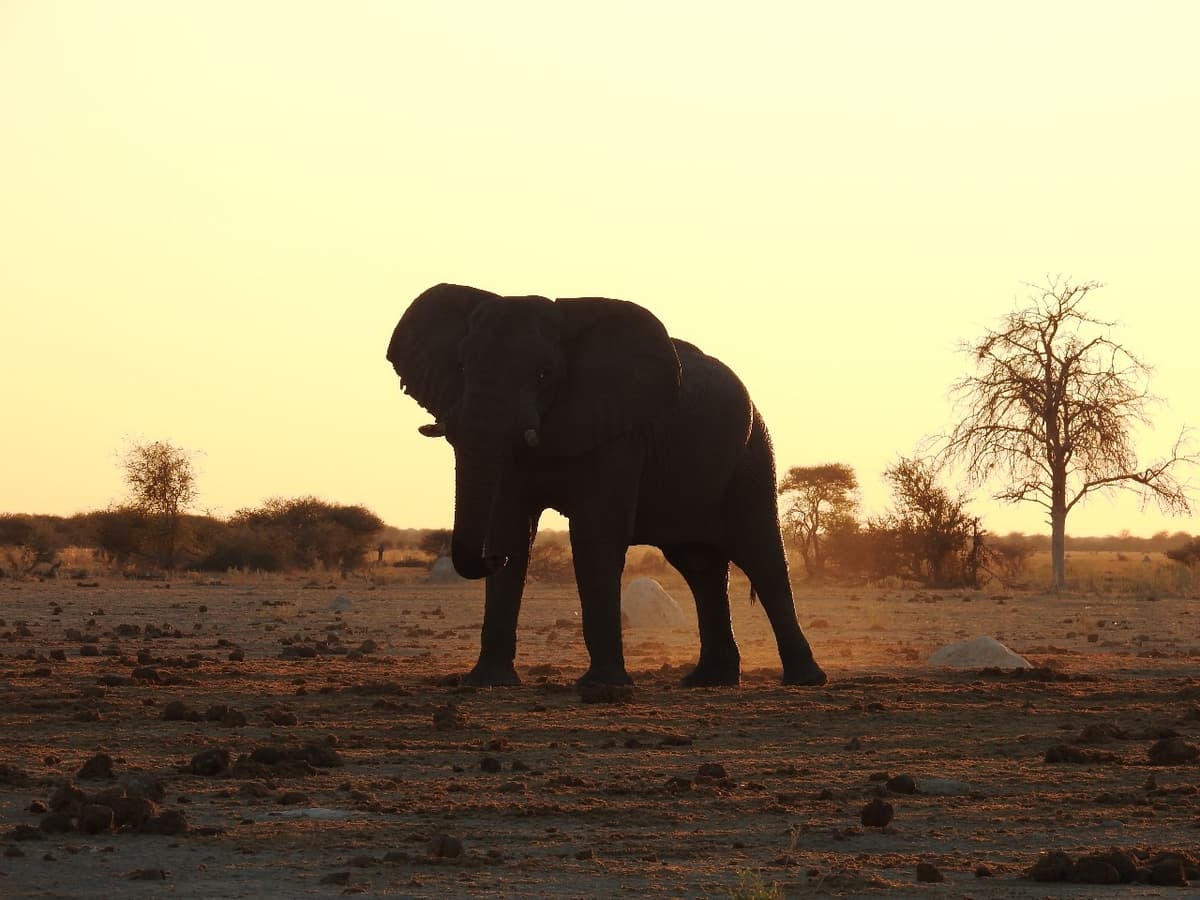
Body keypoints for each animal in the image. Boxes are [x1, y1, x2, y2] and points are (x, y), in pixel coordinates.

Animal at [386, 284, 826, 688]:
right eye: (461, 367)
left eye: (544, 375)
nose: (491, 558)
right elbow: (510, 523)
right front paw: (488, 682)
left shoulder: (620, 433)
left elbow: (594, 537)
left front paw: (603, 687)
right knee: (700, 567)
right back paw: (707, 680)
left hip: (753, 455)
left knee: (761, 556)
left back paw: (804, 680)